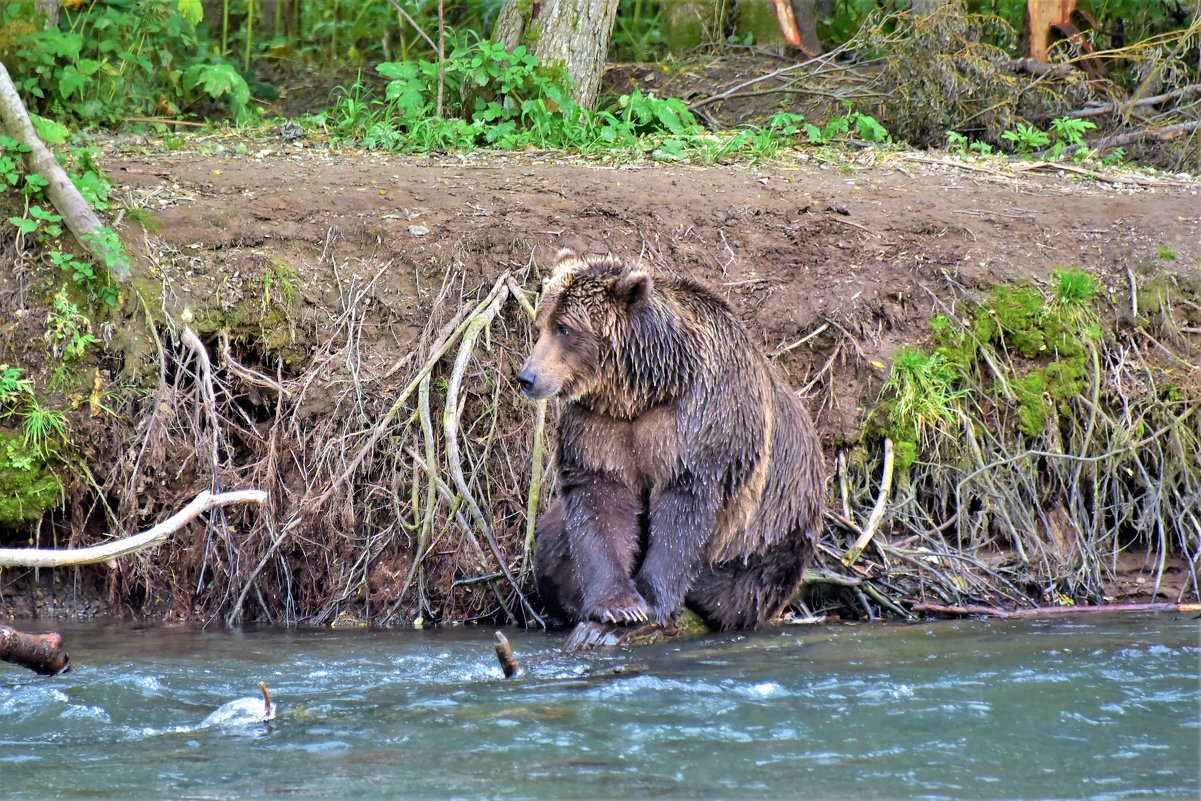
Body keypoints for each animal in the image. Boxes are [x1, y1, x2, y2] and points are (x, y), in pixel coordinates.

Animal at [516, 248, 826, 638]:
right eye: (540, 324)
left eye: (565, 328)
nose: (527, 377)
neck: (643, 389)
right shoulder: (600, 424)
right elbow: (600, 498)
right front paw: (617, 605)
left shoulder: (699, 421)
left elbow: (684, 506)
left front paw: (650, 600)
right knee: (553, 537)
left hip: (776, 529)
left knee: (740, 587)